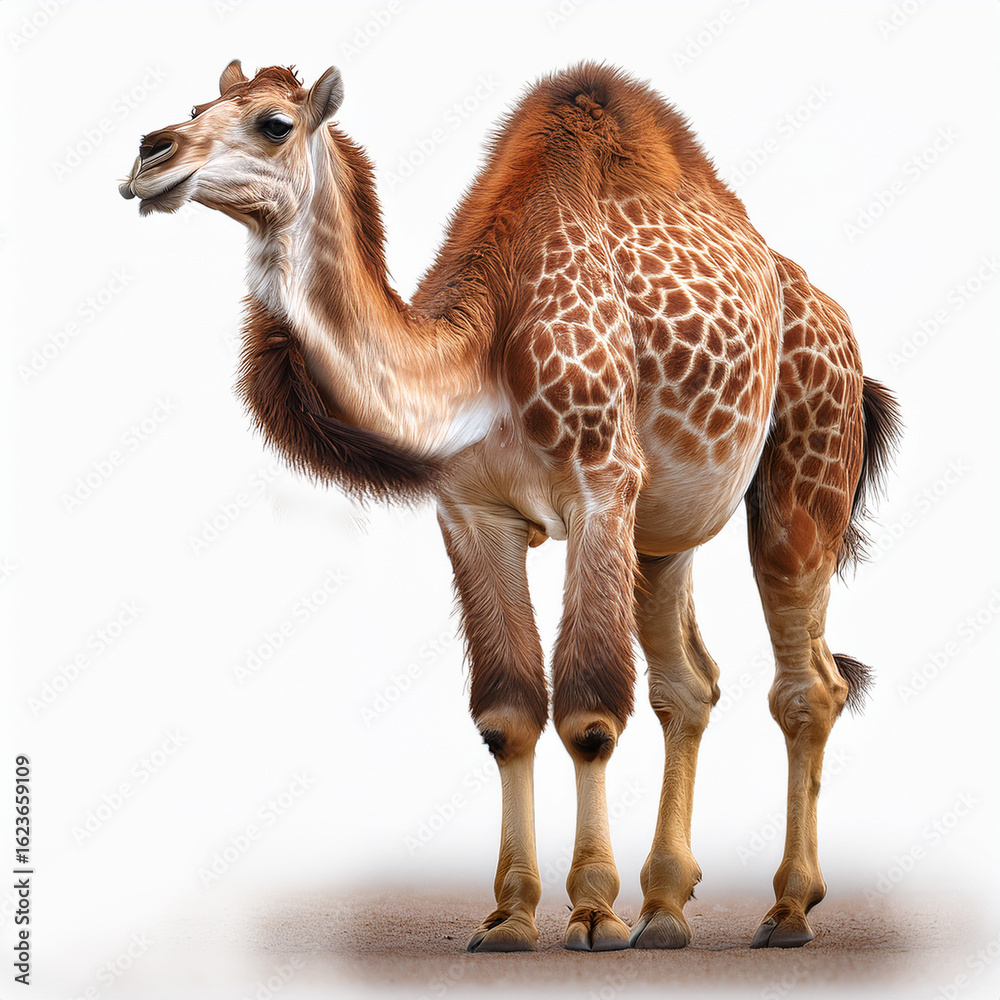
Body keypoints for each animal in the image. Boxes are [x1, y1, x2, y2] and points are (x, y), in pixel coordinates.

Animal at [120, 60, 900, 952]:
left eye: (274, 123)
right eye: (195, 106)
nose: (150, 154)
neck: (477, 366)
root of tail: (832, 320)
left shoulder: (600, 484)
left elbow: (589, 713)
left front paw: (592, 911)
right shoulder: (470, 512)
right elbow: (508, 712)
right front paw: (511, 916)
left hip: (805, 474)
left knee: (809, 686)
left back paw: (786, 908)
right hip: (663, 530)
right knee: (689, 686)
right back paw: (667, 909)